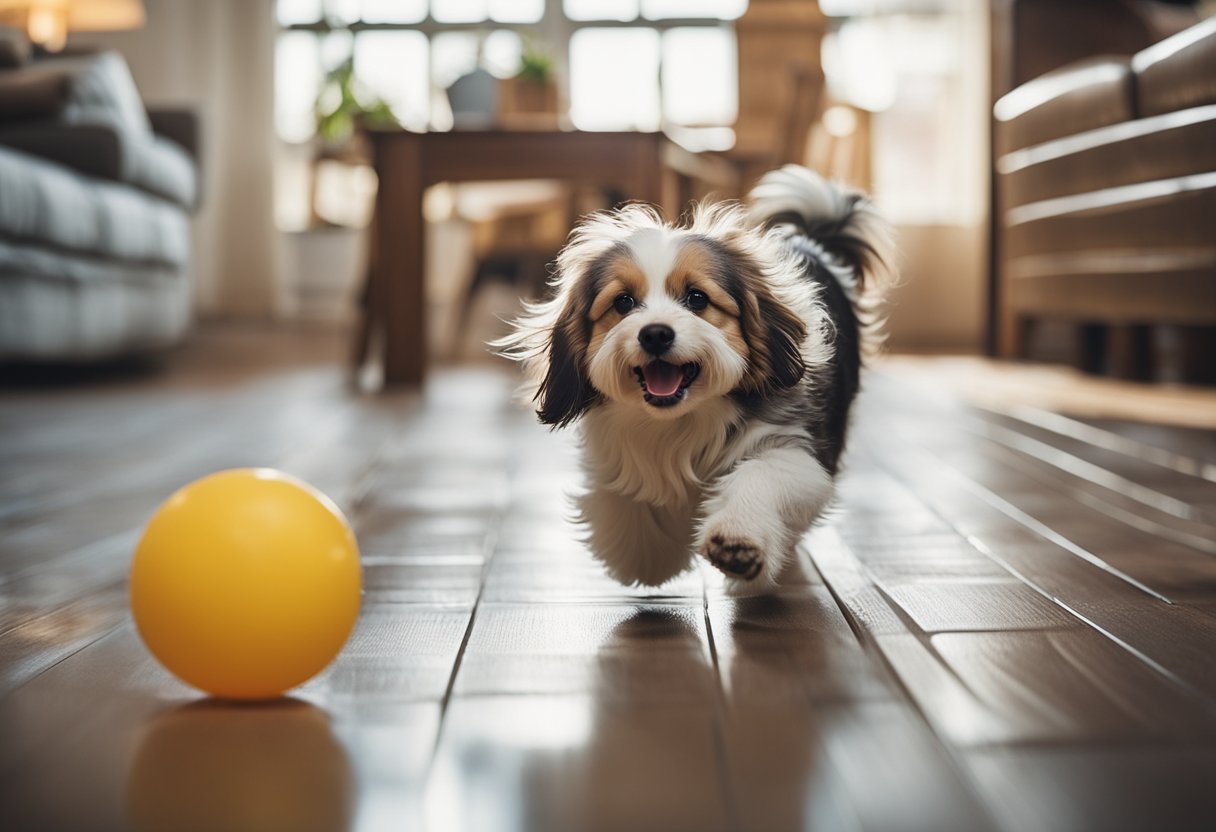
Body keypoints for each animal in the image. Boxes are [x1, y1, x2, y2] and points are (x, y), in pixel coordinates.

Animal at [493, 165, 894, 588]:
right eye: (623, 302)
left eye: (697, 298)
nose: (655, 333)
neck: (682, 419)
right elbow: (630, 505)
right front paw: (649, 556)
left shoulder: (793, 447)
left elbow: (761, 475)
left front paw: (738, 539)